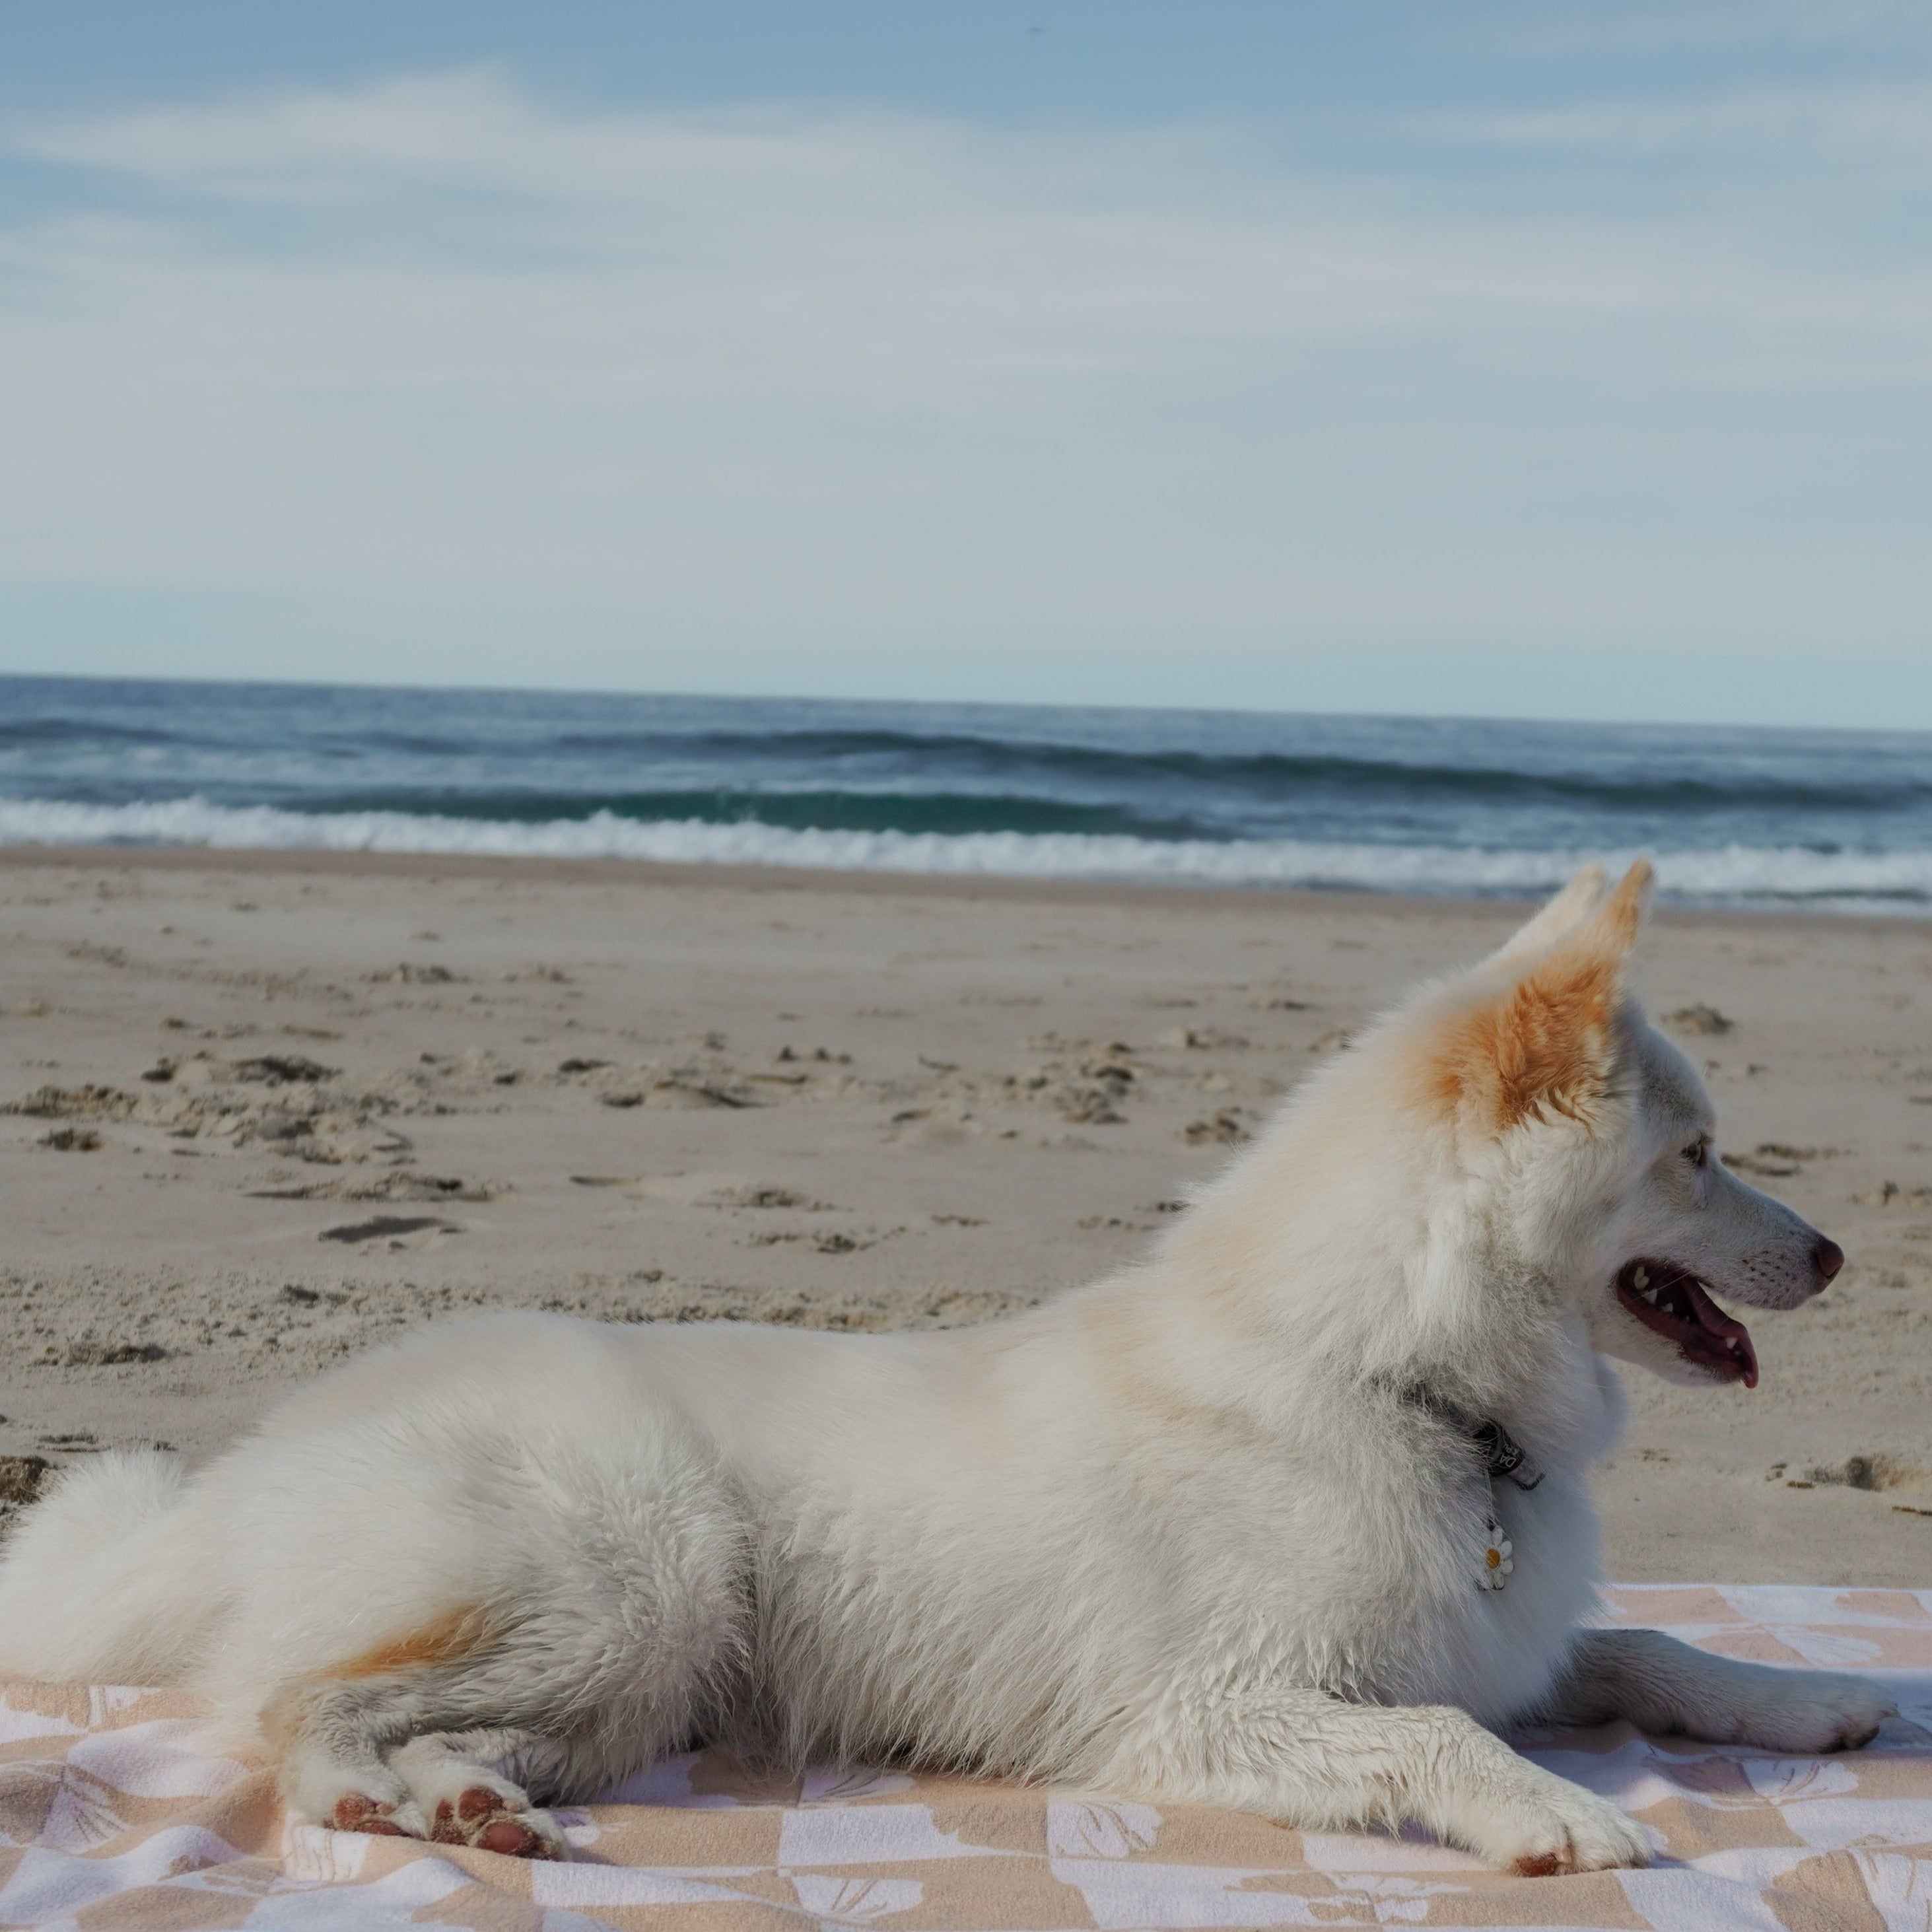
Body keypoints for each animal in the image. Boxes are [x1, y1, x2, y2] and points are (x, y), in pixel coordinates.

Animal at [0, 861, 1893, 1870]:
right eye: (1700, 1157)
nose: (1836, 1255)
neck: (1393, 1381)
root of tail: (242, 1470)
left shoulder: (1508, 1635)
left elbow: (1638, 1642)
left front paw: (1804, 1699)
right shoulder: (1212, 1702)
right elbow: (1438, 1727)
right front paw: (1556, 1816)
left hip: (632, 1679)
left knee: (412, 1718)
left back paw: (467, 1797)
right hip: (633, 1571)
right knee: (291, 1706)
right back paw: (400, 1800)